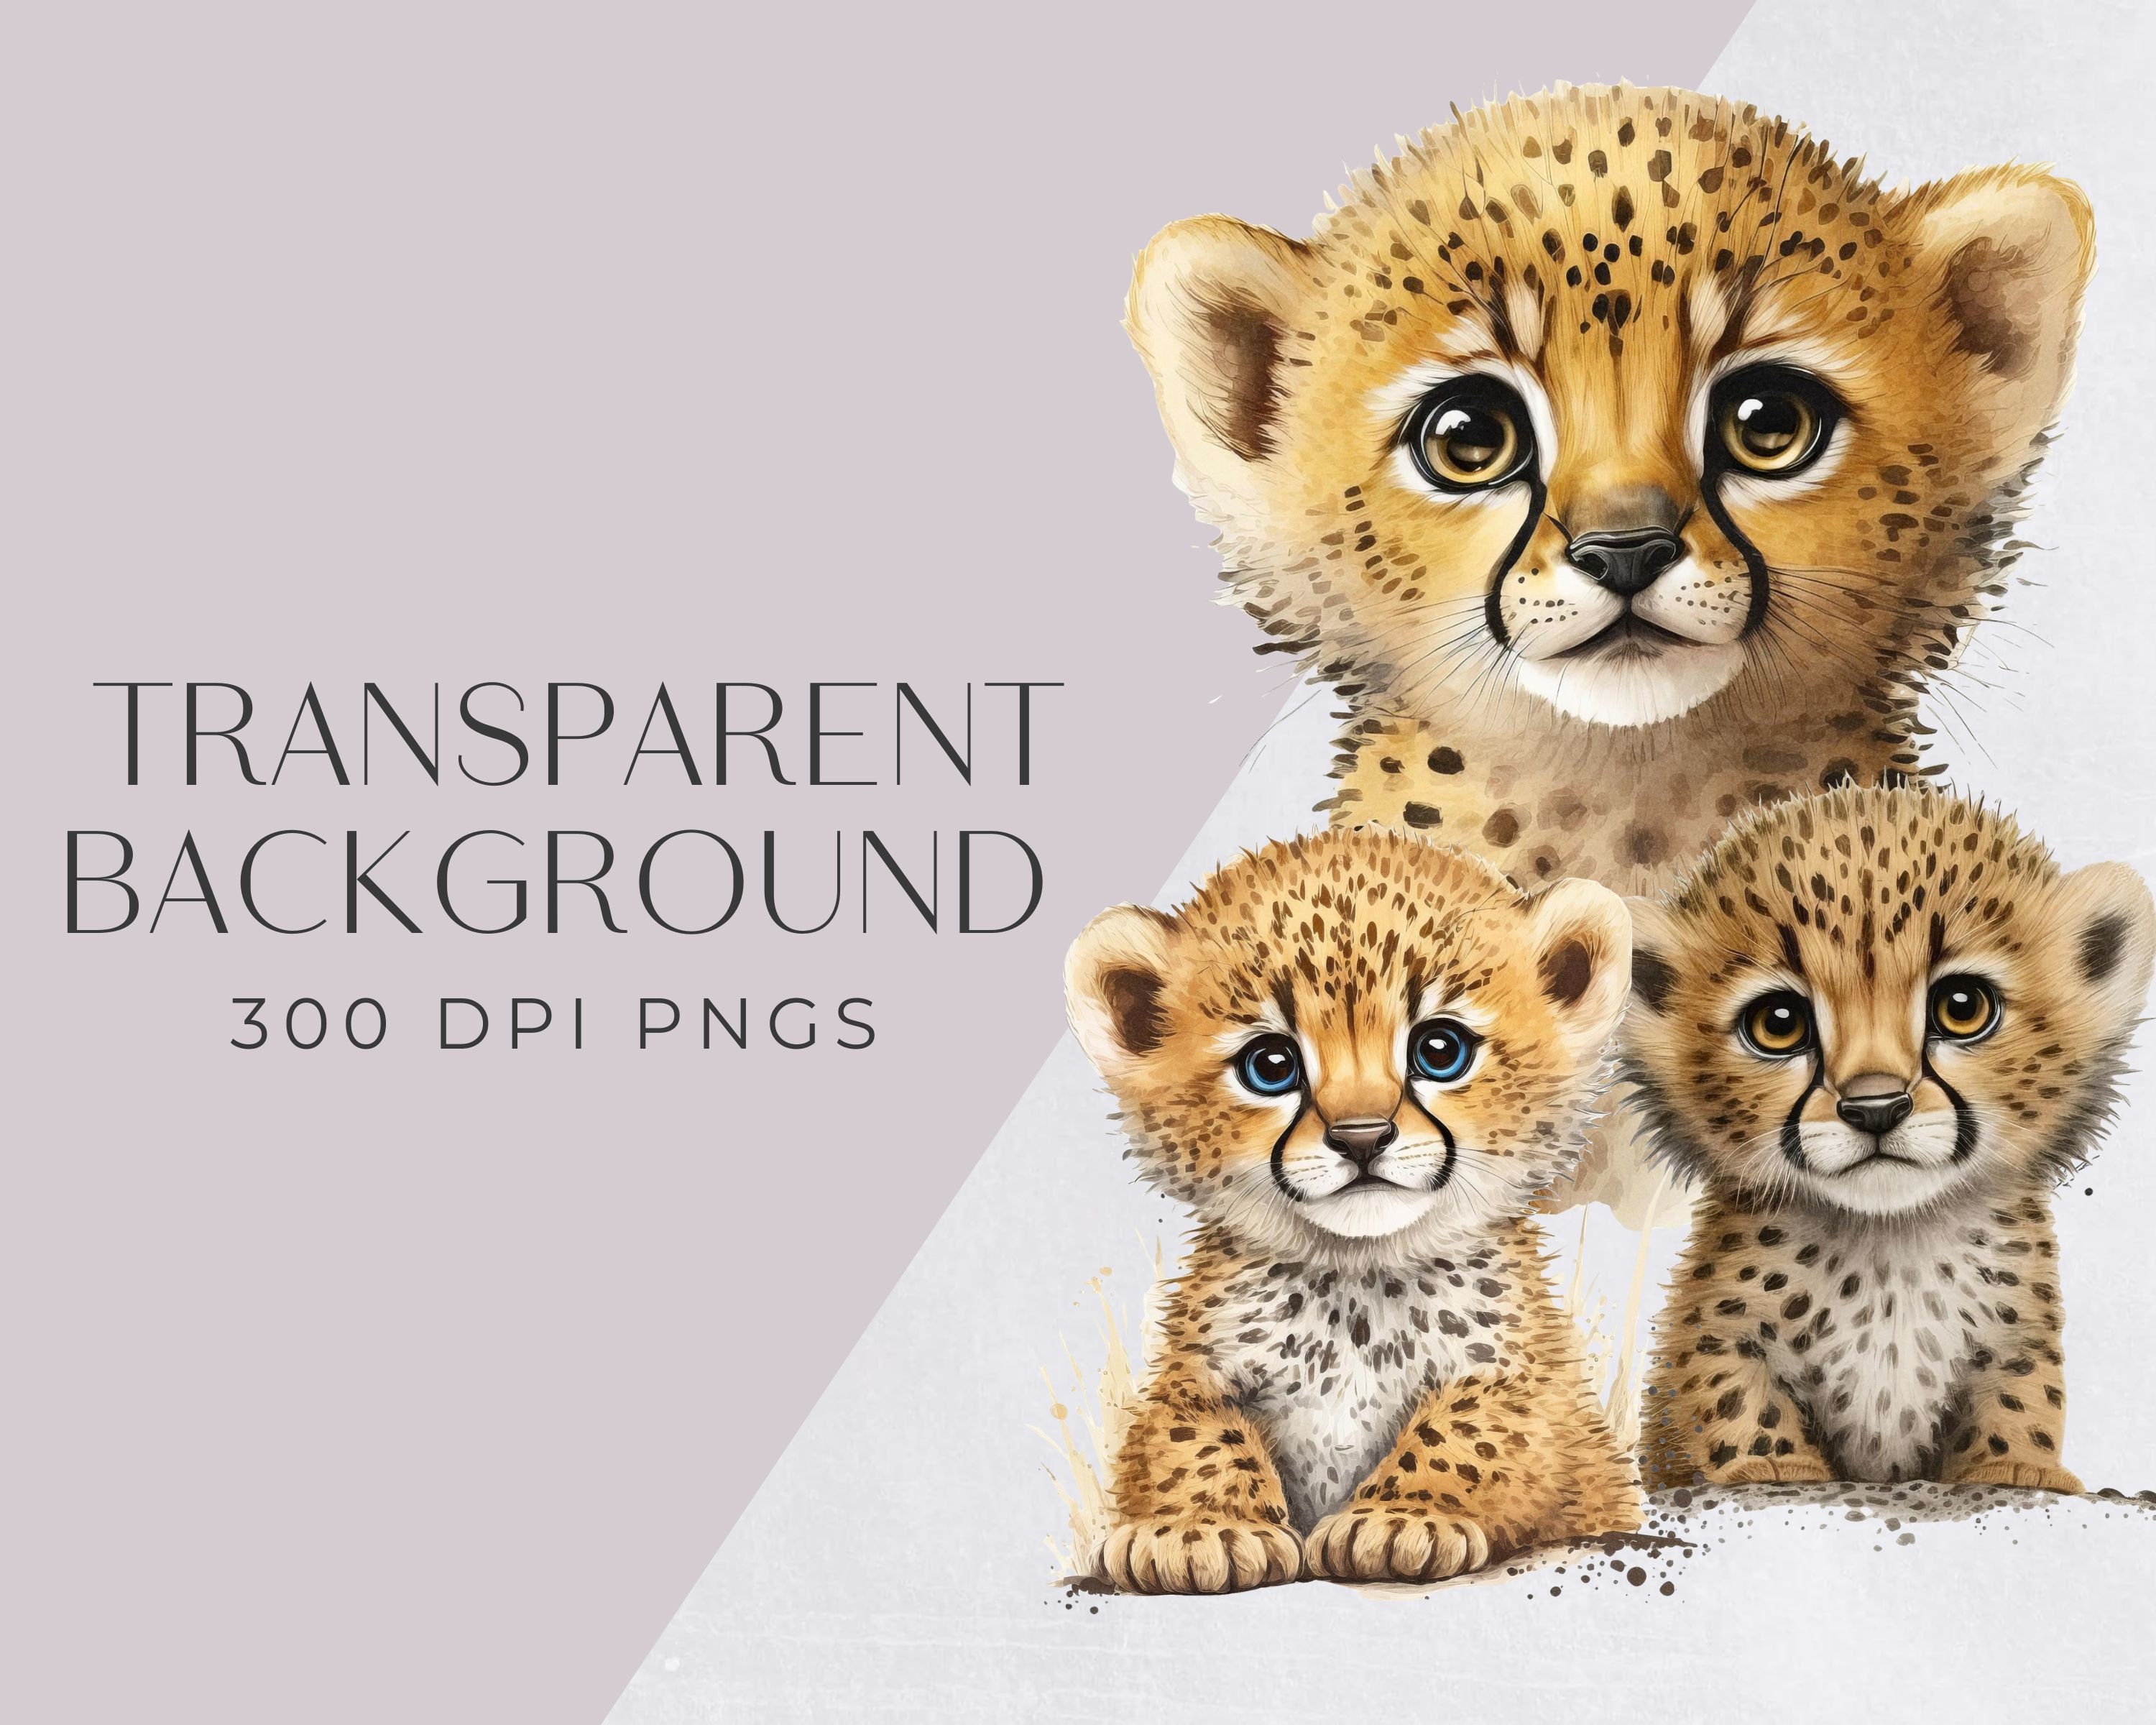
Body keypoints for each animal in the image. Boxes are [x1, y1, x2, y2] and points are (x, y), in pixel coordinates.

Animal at [1063, 826, 1639, 1592]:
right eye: (1271, 1065)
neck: (1354, 1280)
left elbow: (1472, 1430)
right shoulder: (1189, 1383)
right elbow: (1191, 1436)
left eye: (1440, 1050)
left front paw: (1401, 1519)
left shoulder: (1536, 1392)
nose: (1361, 1137)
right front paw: (1199, 1530)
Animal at [1620, 786, 2154, 1493]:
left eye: (1963, 1007)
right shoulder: (1721, 1337)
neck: (1890, 1244)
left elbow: (2022, 1400)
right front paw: (1773, 1466)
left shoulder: (2014, 1341)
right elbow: (1736, 1400)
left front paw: (2017, 1468)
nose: (1875, 1110)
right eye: (1778, 1024)